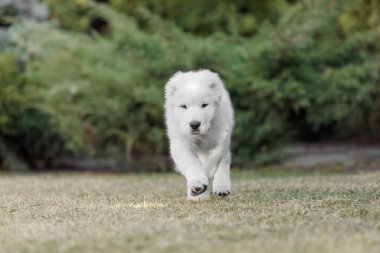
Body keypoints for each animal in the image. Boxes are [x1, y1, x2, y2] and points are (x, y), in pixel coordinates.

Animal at [166, 68, 235, 200]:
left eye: (204, 105)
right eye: (184, 106)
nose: (194, 124)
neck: (201, 136)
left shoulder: (221, 136)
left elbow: (214, 159)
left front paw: (207, 181)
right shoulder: (180, 142)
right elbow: (191, 162)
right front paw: (197, 185)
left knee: (225, 158)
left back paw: (222, 186)